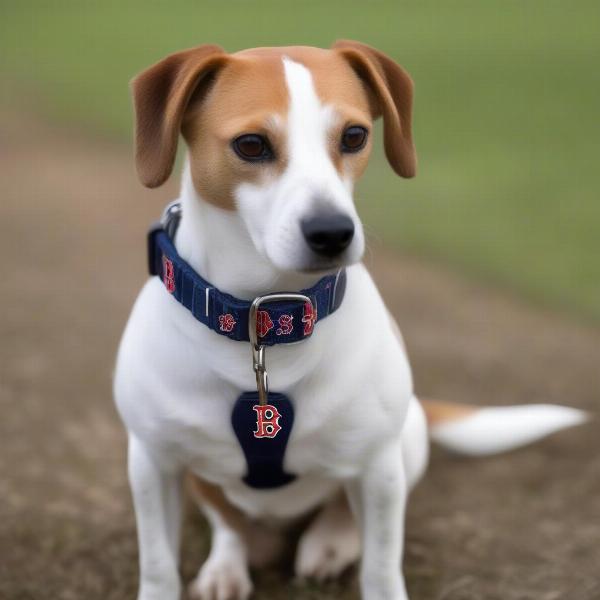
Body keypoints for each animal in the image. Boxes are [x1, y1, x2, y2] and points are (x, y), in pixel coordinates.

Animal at [115, 42, 588, 600]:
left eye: (354, 136)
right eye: (251, 145)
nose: (332, 232)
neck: (265, 320)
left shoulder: (379, 468)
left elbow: (381, 568)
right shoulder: (152, 463)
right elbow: (158, 565)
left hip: (406, 443)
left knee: (341, 510)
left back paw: (329, 543)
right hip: (199, 479)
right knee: (229, 522)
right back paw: (227, 565)